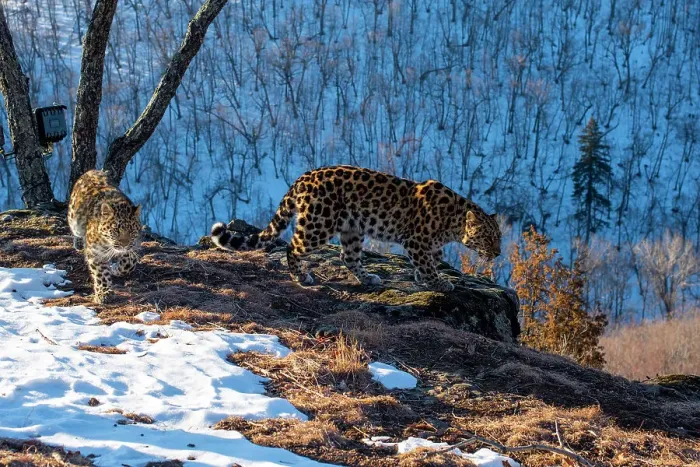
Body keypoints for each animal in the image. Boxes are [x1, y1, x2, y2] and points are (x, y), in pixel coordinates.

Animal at [68, 170, 142, 303]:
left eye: (132, 231)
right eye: (116, 230)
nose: (124, 244)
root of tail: (92, 170)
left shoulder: (132, 248)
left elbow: (129, 262)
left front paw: (115, 269)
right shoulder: (95, 253)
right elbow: (101, 274)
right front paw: (103, 293)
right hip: (74, 218)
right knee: (76, 231)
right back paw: (79, 243)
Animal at [211, 165, 501, 292]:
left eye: (499, 238)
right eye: (488, 238)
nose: (497, 254)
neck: (453, 221)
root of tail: (301, 178)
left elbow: (431, 259)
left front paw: (422, 276)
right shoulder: (416, 241)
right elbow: (428, 263)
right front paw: (439, 282)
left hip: (352, 228)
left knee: (347, 256)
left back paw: (368, 278)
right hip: (319, 224)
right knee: (293, 247)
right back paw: (301, 277)